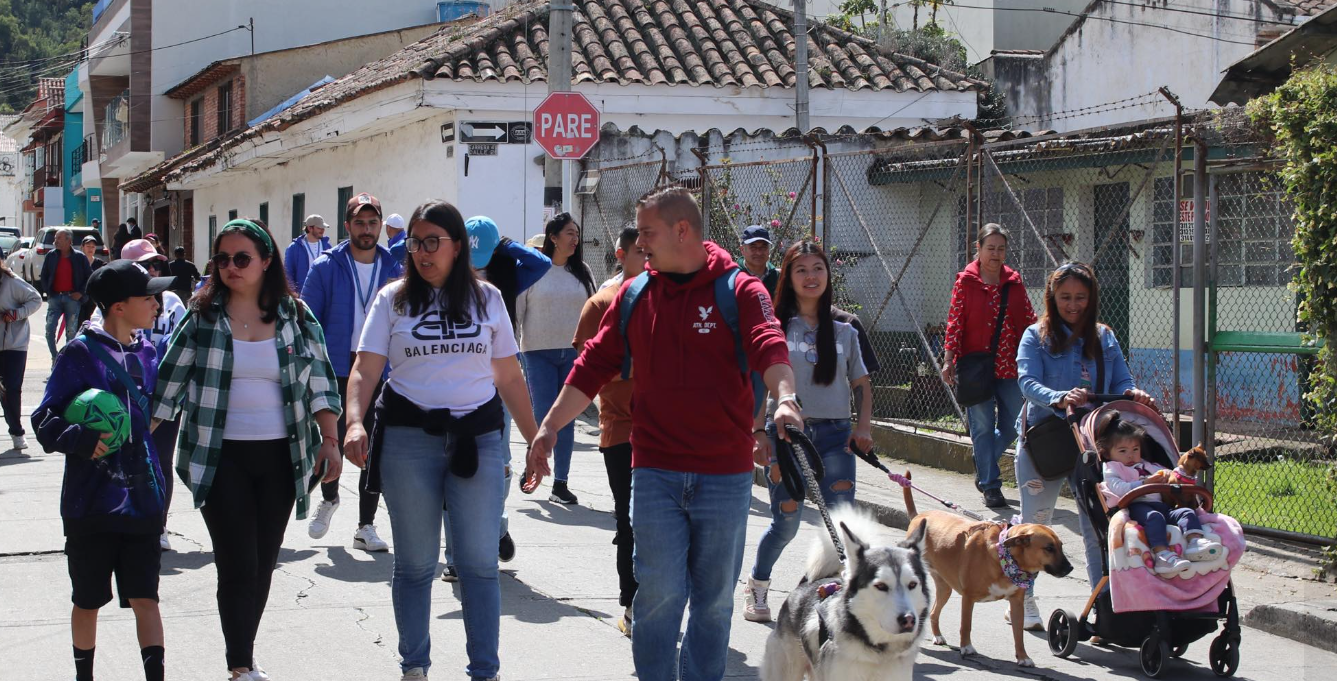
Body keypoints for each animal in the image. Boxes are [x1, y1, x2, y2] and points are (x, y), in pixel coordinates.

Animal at [898, 476, 1074, 666]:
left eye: (1060, 546)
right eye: (1049, 548)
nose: (1070, 568)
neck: (1005, 556)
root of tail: (918, 517)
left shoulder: (1017, 604)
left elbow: (1018, 634)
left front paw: (1023, 656)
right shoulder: (968, 598)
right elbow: (966, 625)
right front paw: (966, 648)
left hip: (945, 588)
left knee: (933, 612)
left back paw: (937, 636)